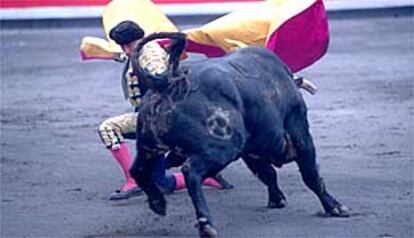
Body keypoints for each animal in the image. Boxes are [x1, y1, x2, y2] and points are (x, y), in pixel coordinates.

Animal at [130, 32, 350, 237]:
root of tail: (168, 82)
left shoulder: (251, 152)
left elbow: (268, 173)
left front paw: (277, 200)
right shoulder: (300, 134)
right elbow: (311, 176)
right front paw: (335, 208)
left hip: (149, 146)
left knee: (138, 170)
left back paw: (158, 203)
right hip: (223, 149)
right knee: (190, 171)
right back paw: (206, 224)